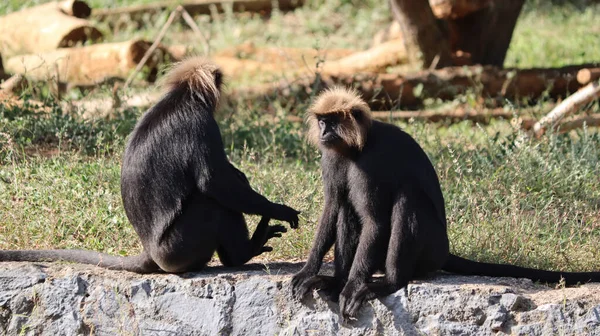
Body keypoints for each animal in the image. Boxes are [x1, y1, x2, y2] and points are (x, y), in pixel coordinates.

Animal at [0, 57, 300, 272]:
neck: (182, 97)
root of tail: (151, 253)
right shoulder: (201, 124)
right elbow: (214, 182)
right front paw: (278, 209)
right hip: (180, 248)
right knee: (212, 203)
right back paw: (243, 254)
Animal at [290, 86, 600, 320]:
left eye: (332, 121)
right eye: (322, 121)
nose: (323, 131)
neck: (355, 149)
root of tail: (445, 250)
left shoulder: (370, 164)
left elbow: (374, 221)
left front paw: (353, 286)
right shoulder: (331, 158)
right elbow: (332, 208)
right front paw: (309, 272)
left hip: (431, 247)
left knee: (407, 198)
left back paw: (387, 283)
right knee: (346, 209)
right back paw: (335, 281)